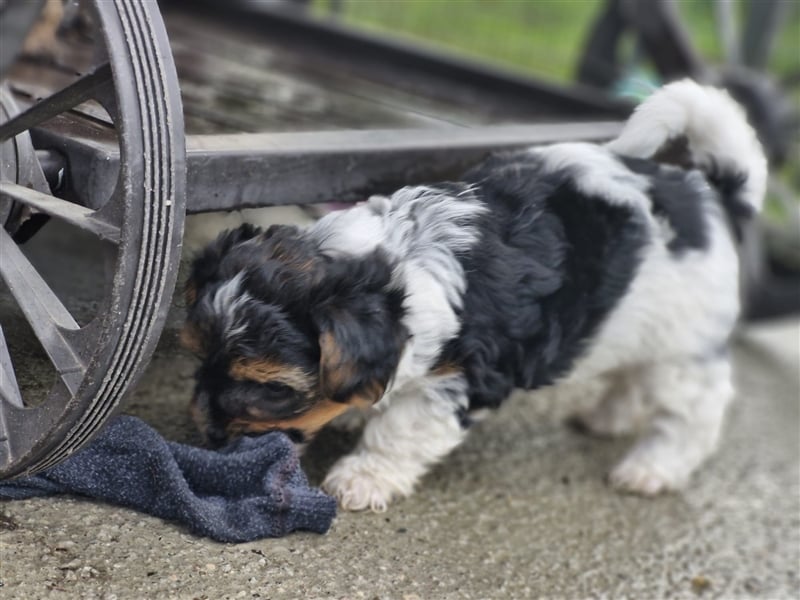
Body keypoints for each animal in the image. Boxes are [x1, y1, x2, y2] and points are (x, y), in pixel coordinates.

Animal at [183, 79, 768, 510]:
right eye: (198, 358)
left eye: (271, 388)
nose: (208, 436)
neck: (398, 266)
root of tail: (715, 193)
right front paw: (357, 409)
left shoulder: (461, 375)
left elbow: (403, 427)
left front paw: (364, 476)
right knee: (631, 374)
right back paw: (607, 419)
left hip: (685, 348)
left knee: (695, 410)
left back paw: (652, 468)